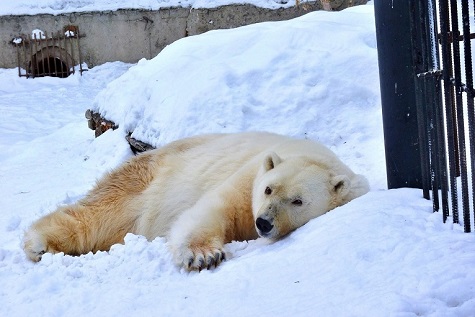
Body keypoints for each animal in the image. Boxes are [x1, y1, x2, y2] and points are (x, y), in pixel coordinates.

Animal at [23, 131, 372, 270]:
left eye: (298, 201)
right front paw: (203, 256)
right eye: (268, 189)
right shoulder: (247, 176)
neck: (314, 156)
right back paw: (38, 244)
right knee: (97, 215)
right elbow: (214, 209)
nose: (263, 222)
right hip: (146, 181)